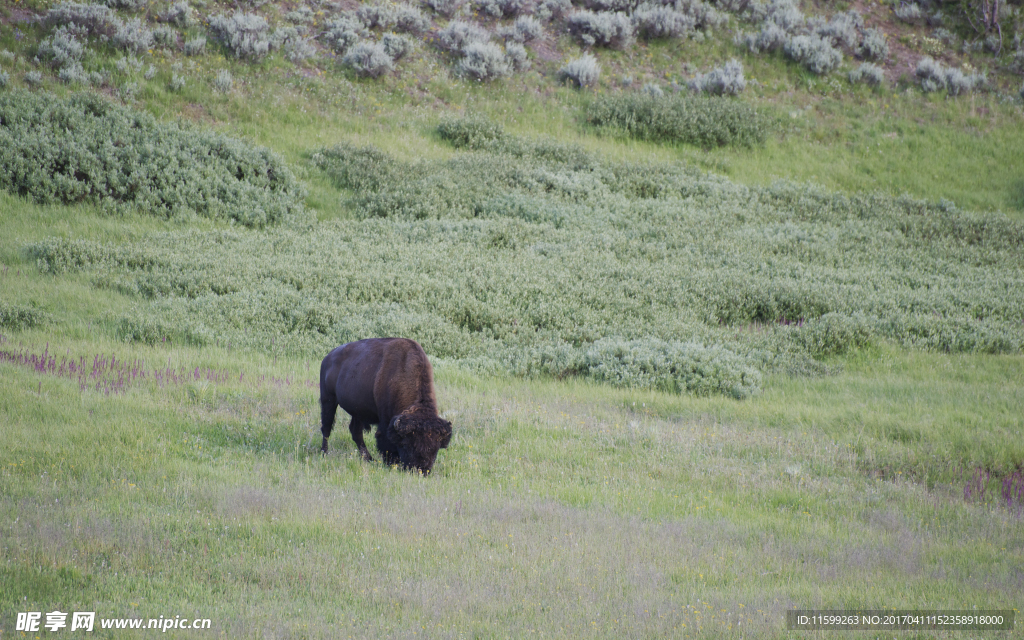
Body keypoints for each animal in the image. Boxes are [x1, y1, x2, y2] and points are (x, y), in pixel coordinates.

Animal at [317, 337, 450, 471]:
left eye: (436, 447)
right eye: (407, 444)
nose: (420, 470)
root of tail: (327, 358)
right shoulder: (385, 419)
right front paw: (391, 463)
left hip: (357, 411)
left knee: (355, 432)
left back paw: (368, 459)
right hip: (328, 400)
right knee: (326, 428)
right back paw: (324, 453)